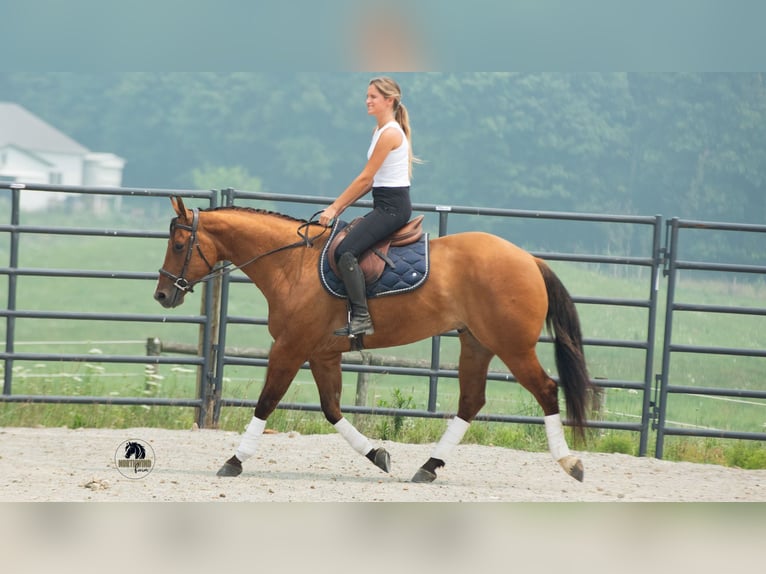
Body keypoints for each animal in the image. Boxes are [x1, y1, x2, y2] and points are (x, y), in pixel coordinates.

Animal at [154, 196, 592, 483]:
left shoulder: (290, 348)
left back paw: (570, 463)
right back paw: (428, 467)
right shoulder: (321, 354)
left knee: (546, 390)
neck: (293, 263)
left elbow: (266, 402)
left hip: (512, 346)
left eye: (179, 245)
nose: (162, 295)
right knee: (471, 401)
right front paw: (378, 454)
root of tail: (529, 259)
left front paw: (235, 459)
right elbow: (331, 409)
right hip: (477, 344)